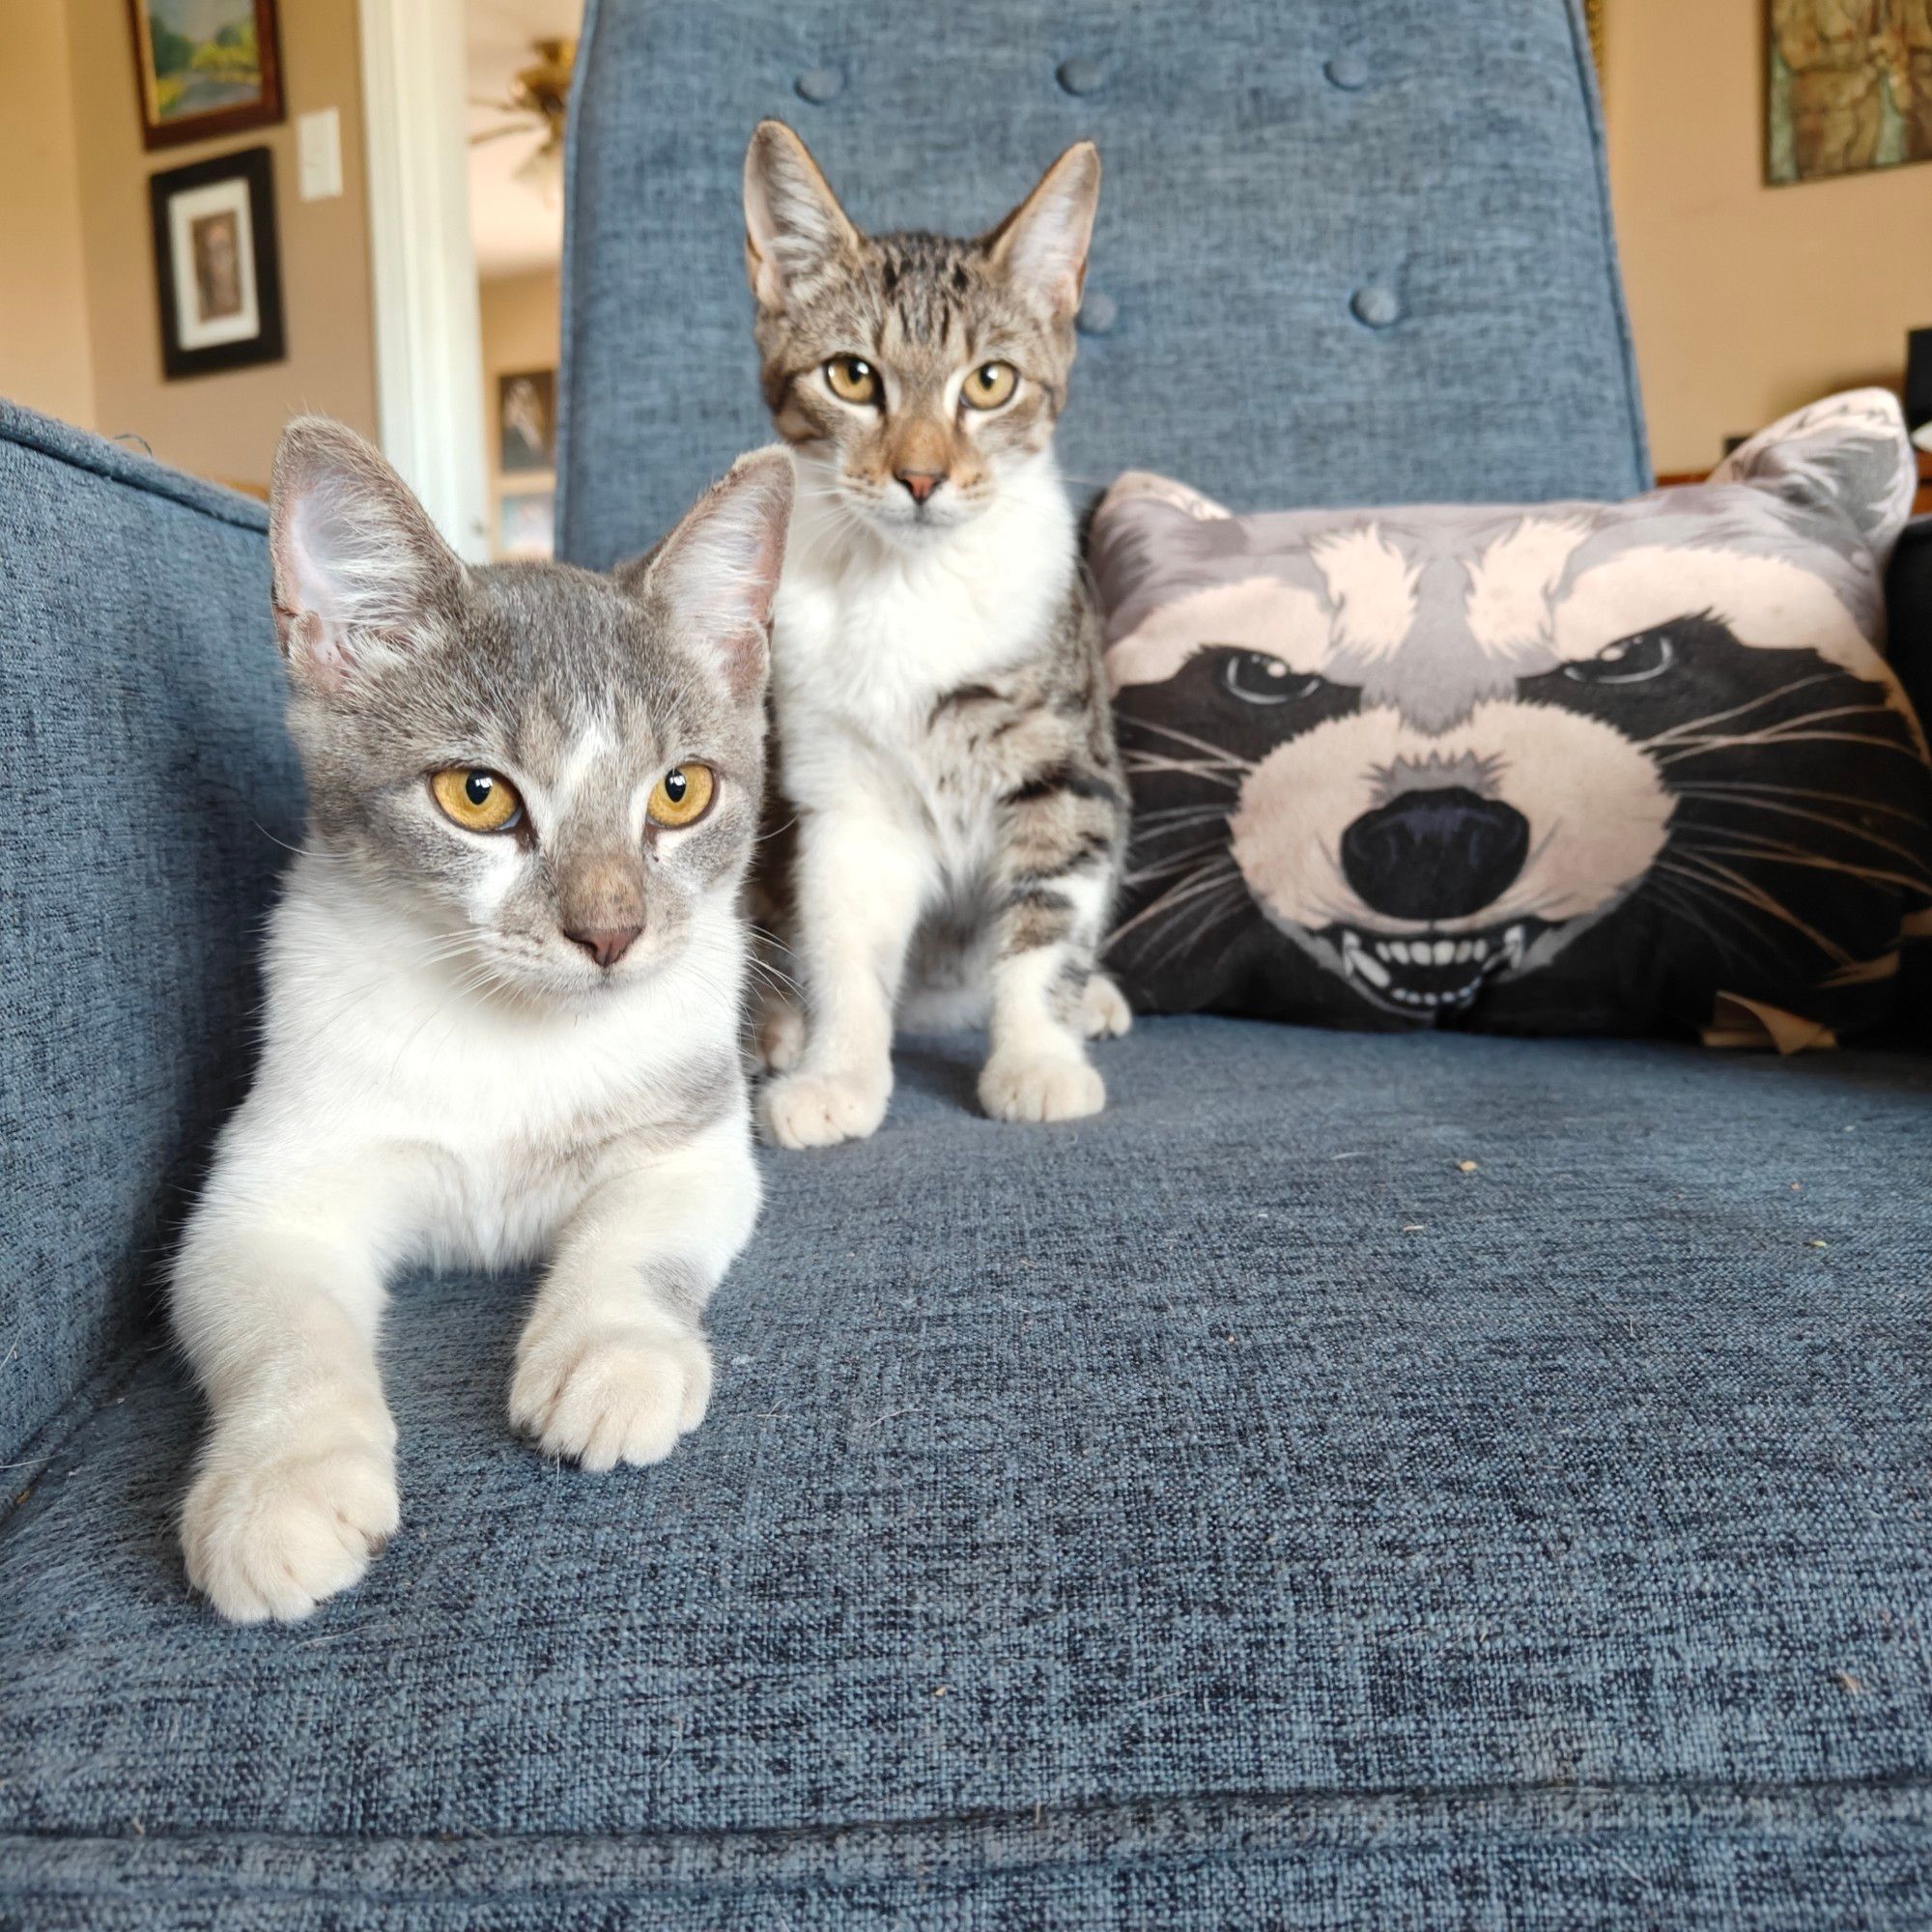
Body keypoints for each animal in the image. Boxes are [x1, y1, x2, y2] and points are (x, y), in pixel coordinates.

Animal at [174, 419, 788, 1615]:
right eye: (477, 794)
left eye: (681, 790)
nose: (610, 931)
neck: (512, 1029)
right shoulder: (274, 1176)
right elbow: (273, 1315)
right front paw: (280, 1483)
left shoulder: (690, 1132)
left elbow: (645, 1232)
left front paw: (611, 1353)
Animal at [738, 121, 1128, 1144]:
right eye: (852, 375)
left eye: (990, 382)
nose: (921, 476)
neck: (908, 587)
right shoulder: (845, 794)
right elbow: (845, 941)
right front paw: (838, 1072)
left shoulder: (1065, 764)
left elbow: (1046, 918)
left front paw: (1037, 1059)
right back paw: (776, 1025)